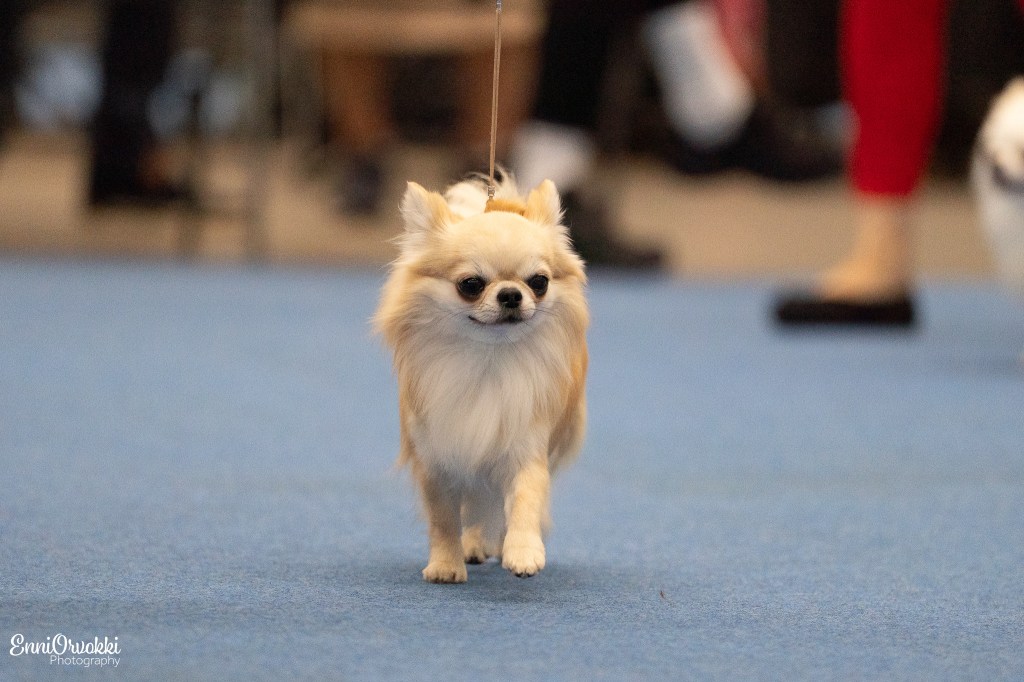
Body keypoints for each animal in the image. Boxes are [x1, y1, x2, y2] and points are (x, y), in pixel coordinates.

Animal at [375, 174, 589, 583]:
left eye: (539, 282)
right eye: (471, 284)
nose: (511, 294)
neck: (488, 361)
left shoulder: (526, 449)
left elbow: (525, 500)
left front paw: (523, 551)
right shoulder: (437, 459)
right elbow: (444, 520)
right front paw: (446, 564)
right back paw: (471, 546)